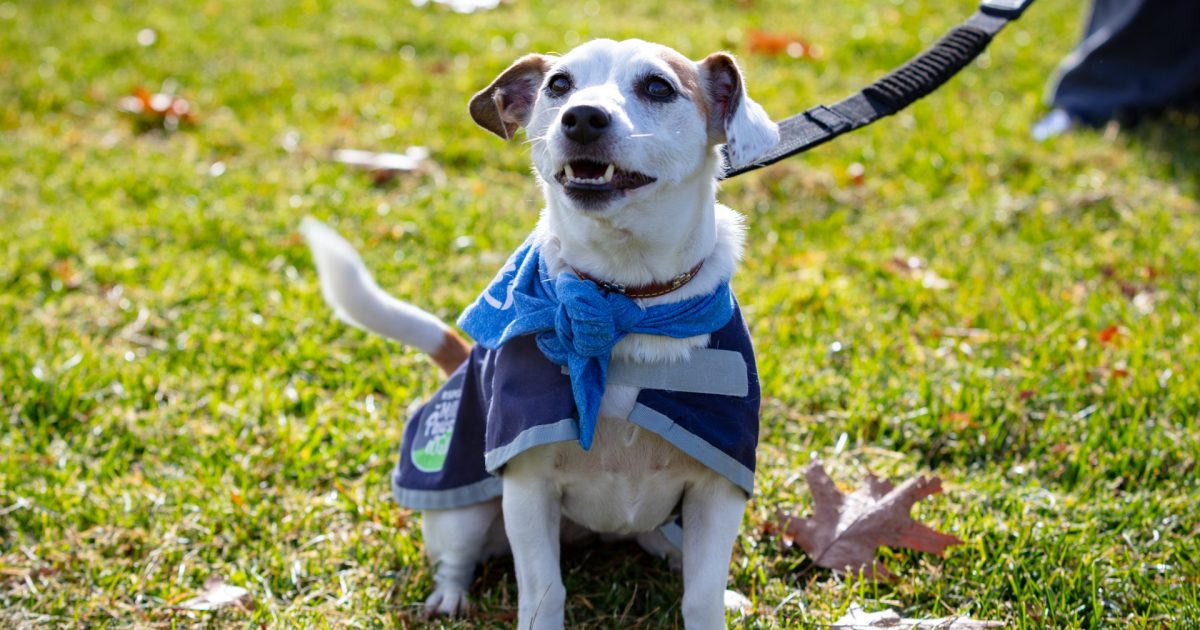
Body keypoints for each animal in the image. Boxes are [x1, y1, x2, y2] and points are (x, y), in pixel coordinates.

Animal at [302, 39, 777, 628]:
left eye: (658, 87)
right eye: (559, 85)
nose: (583, 117)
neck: (621, 301)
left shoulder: (717, 485)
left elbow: (701, 594)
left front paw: (714, 600)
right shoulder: (528, 490)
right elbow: (544, 590)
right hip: (461, 506)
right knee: (455, 556)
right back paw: (449, 597)